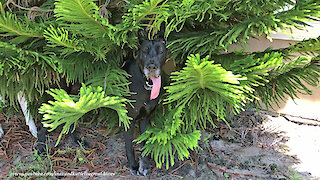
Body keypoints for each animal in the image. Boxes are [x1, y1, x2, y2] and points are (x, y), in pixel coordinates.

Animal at [123, 37, 168, 175]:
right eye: (145, 51)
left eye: (161, 51)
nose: (151, 67)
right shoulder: (129, 119)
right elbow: (129, 145)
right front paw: (133, 166)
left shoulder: (145, 117)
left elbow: (144, 142)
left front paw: (145, 164)